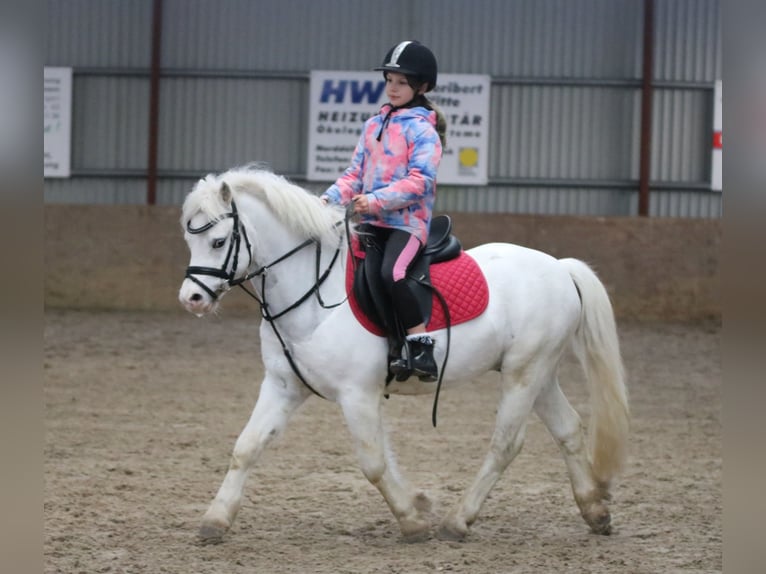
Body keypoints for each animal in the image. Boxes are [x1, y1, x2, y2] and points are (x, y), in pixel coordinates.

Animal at [178, 165, 632, 544]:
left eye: (219, 241)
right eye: (189, 240)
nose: (191, 299)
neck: (314, 294)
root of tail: (560, 267)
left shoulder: (356, 394)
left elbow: (374, 462)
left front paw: (412, 520)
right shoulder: (283, 385)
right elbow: (247, 447)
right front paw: (215, 521)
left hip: (523, 373)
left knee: (506, 444)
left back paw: (457, 522)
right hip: (539, 373)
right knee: (568, 429)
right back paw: (595, 512)